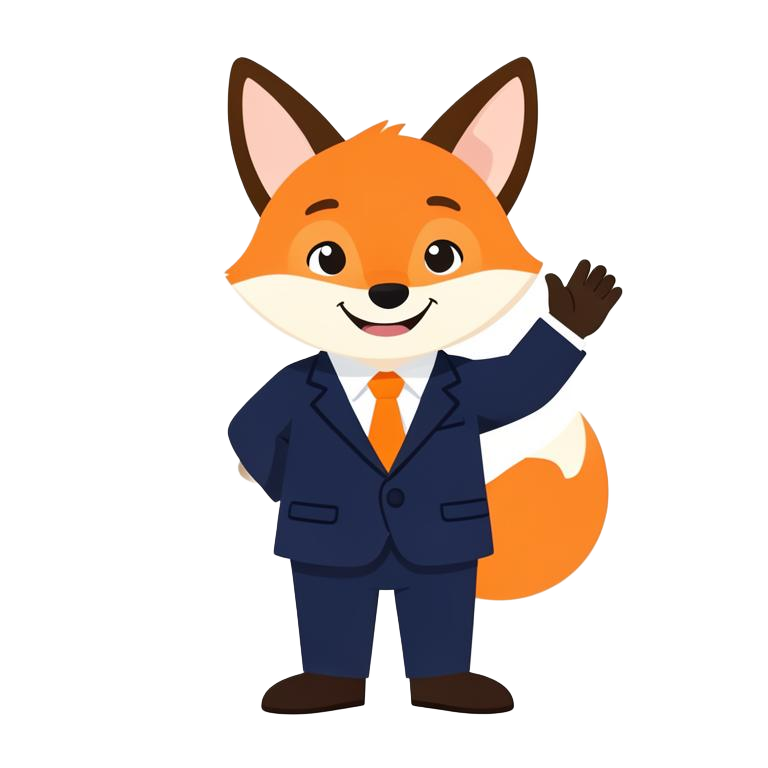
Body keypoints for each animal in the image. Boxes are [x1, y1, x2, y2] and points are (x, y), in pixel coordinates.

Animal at [225, 56, 621, 715]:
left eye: (441, 255)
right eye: (327, 257)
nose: (388, 294)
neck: (387, 363)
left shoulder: (476, 387)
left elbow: (526, 380)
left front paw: (575, 309)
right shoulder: (285, 389)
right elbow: (247, 428)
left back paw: (451, 687)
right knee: (332, 597)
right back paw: (322, 687)